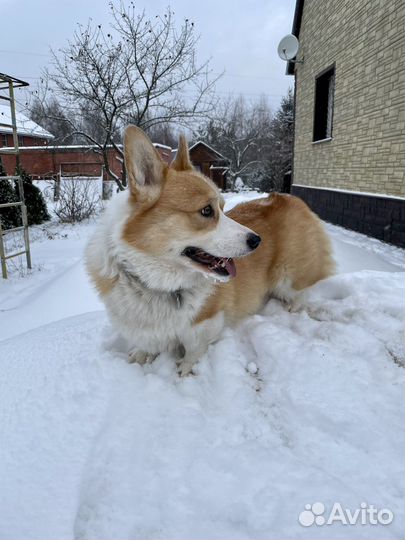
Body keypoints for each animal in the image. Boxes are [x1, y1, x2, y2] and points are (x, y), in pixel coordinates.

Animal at [84, 125, 332, 376]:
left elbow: (192, 351)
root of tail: (290, 198)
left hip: (288, 278)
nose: (257, 241)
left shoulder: (204, 324)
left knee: (301, 293)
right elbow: (149, 343)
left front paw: (183, 372)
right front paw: (143, 354)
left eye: (222, 208)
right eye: (206, 210)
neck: (157, 285)